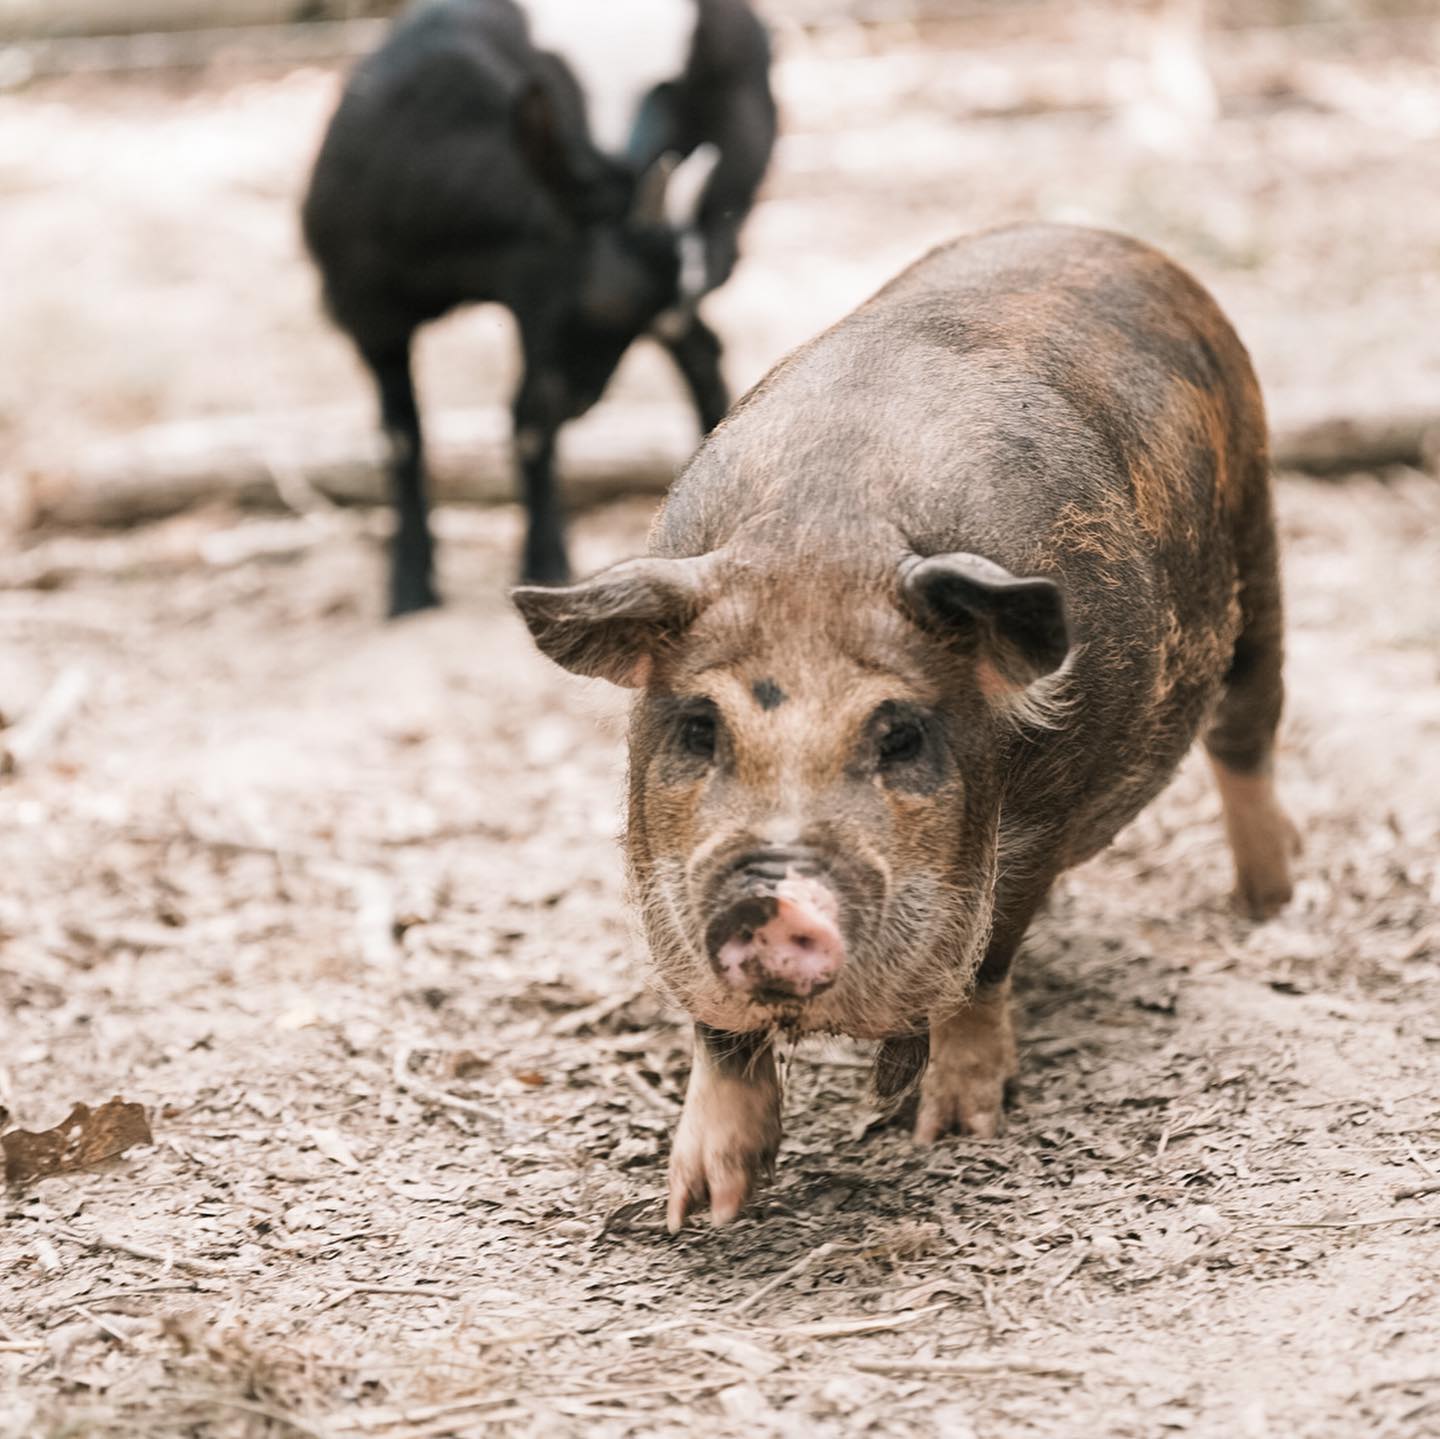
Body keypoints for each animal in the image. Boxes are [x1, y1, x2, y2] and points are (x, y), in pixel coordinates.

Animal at [513, 223, 1299, 1228]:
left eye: (900, 735)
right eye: (697, 724)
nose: (774, 897)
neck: (825, 533)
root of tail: (1109, 237)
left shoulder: (1038, 819)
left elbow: (985, 964)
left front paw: (952, 1131)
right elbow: (720, 1036)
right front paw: (700, 1207)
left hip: (1258, 552)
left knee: (1248, 740)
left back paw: (1267, 903)